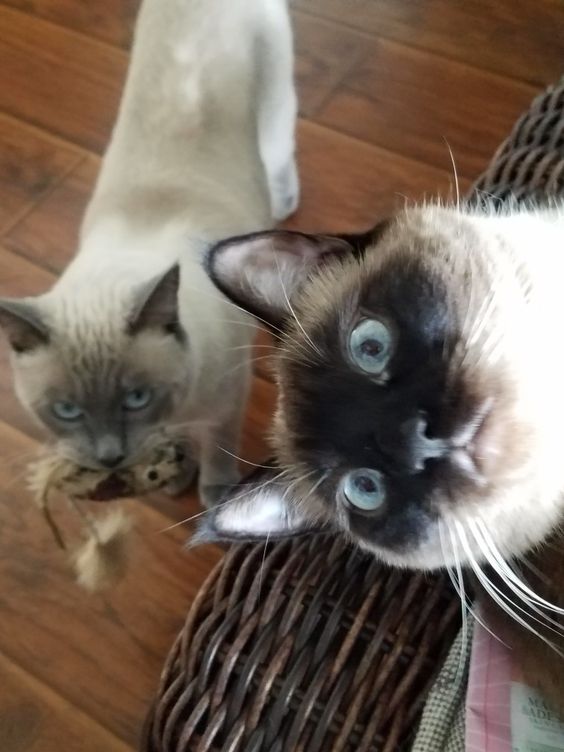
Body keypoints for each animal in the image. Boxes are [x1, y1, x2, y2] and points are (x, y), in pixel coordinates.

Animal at [0, 1, 300, 506]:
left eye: (136, 398)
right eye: (67, 410)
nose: (109, 458)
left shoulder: (228, 400)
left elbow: (218, 448)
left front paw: (213, 494)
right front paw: (174, 474)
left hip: (277, 103)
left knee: (280, 150)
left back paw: (282, 205)